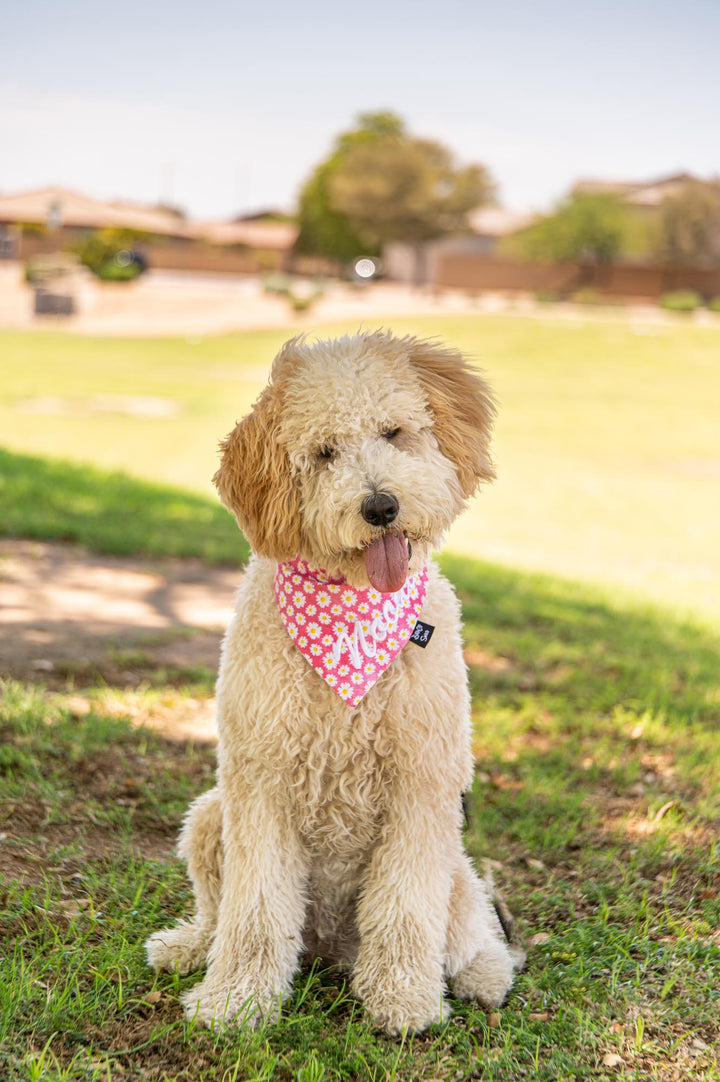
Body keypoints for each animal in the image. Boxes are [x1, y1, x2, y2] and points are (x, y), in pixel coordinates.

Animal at [146, 326, 526, 1030]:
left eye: (394, 432)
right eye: (323, 453)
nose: (381, 505)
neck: (351, 614)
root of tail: (328, 948)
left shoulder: (421, 787)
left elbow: (405, 908)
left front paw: (403, 999)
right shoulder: (261, 781)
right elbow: (255, 911)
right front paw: (235, 999)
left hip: (456, 865)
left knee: (470, 931)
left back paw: (482, 975)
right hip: (211, 816)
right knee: (220, 913)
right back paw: (191, 947)